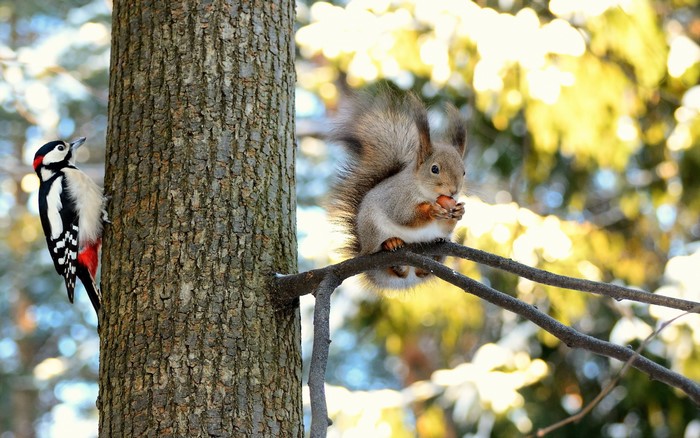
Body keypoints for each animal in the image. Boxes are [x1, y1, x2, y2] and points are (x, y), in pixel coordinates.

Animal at [328, 89, 467, 289]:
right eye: (434, 169)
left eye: (464, 172)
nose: (454, 191)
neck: (425, 192)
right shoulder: (398, 199)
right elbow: (404, 216)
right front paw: (431, 210)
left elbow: (445, 225)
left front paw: (458, 212)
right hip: (373, 230)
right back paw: (391, 244)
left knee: (421, 270)